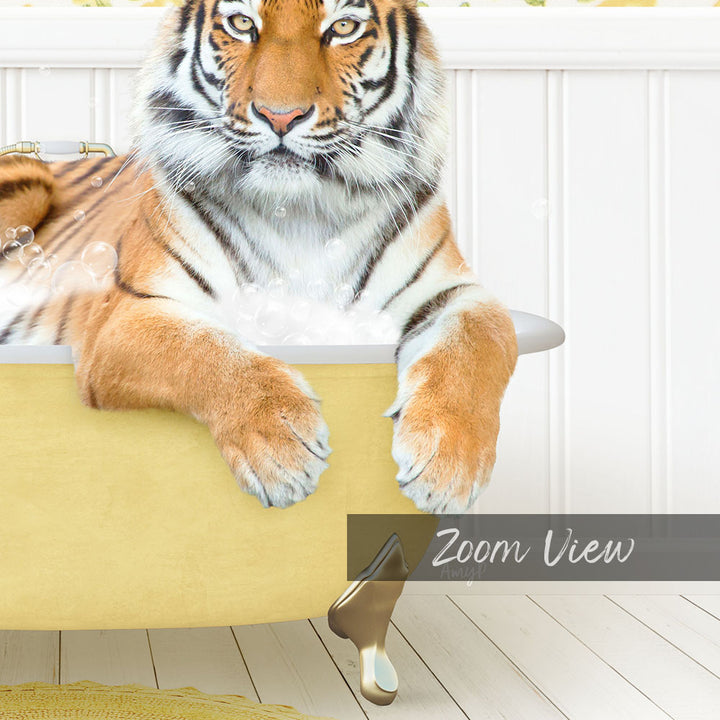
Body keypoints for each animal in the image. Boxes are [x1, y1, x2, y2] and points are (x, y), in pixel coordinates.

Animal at [0, 0, 517, 514]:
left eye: (343, 27)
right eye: (242, 23)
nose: (281, 116)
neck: (300, 213)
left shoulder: (455, 291)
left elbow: (479, 342)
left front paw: (447, 465)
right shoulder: (125, 315)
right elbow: (205, 350)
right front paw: (281, 449)